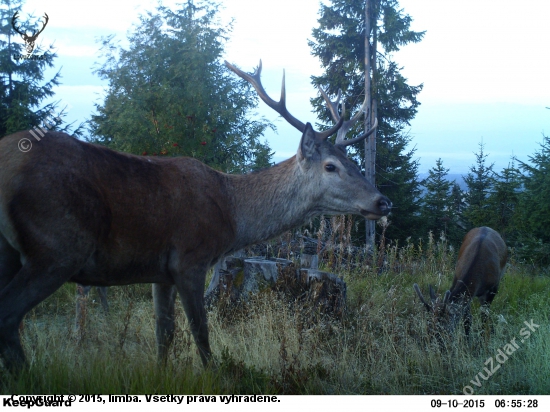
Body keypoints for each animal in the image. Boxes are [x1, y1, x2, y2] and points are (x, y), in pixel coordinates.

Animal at [0, 60, 392, 370]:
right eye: (330, 166)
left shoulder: (159, 271)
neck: (233, 214)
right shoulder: (190, 258)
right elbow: (201, 335)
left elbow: (165, 332)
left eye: (353, 162)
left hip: (17, 252)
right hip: (57, 245)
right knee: (9, 315)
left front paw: (160, 376)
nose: (383, 202)